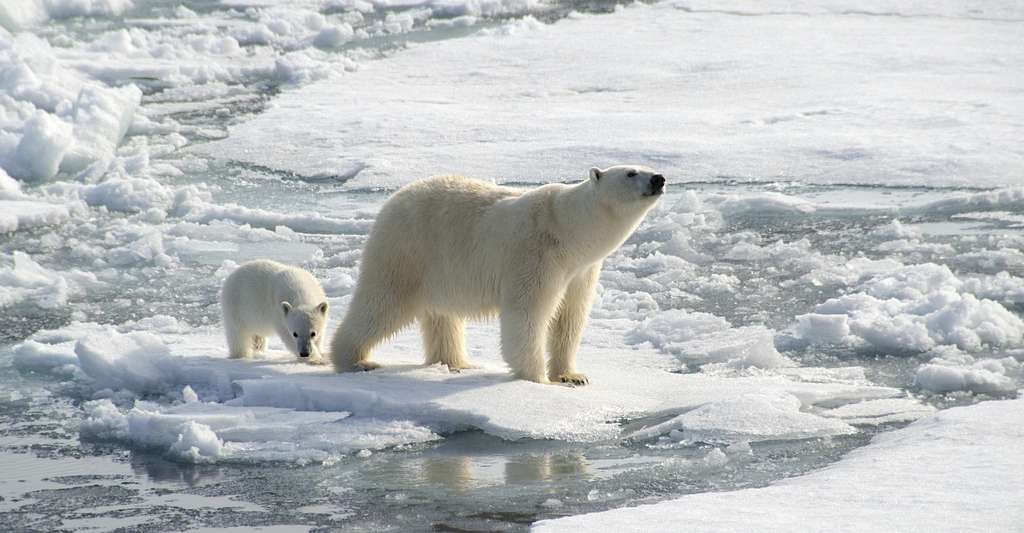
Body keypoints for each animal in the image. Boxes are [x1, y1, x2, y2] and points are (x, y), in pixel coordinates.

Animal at [327, 164, 663, 382]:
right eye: (631, 173)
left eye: (646, 166)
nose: (659, 178)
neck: (568, 231)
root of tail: (392, 200)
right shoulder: (535, 255)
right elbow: (527, 313)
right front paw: (537, 379)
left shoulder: (581, 270)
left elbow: (570, 317)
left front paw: (572, 376)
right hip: (407, 251)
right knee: (382, 303)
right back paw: (355, 360)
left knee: (442, 316)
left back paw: (456, 363)